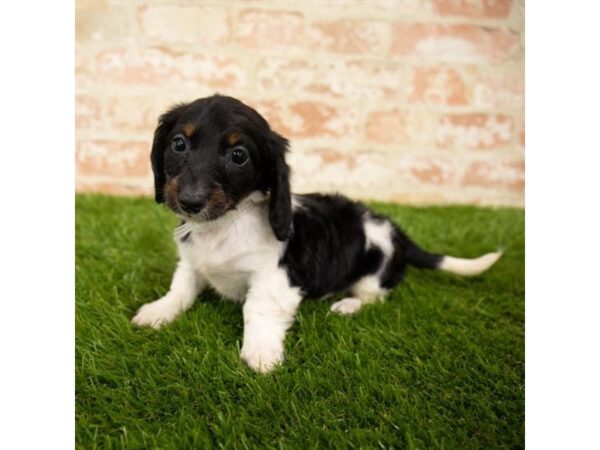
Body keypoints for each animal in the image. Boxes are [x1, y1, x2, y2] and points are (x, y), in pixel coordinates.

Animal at [132, 95, 502, 372]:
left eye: (239, 156)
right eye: (179, 144)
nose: (190, 202)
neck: (224, 225)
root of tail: (397, 233)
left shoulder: (275, 277)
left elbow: (257, 308)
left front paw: (261, 353)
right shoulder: (192, 261)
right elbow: (181, 289)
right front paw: (158, 311)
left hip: (374, 273)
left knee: (375, 296)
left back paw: (346, 305)